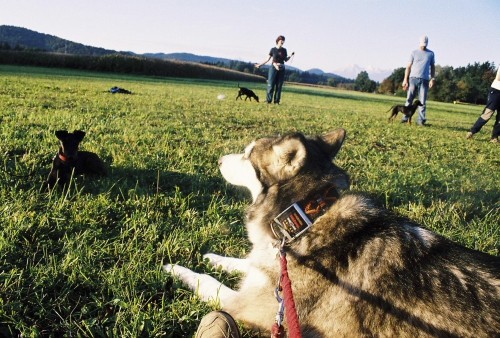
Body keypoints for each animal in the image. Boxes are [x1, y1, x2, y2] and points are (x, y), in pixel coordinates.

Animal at [165, 128, 500, 336]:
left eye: (247, 155)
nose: (219, 160)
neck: (307, 216)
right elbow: (245, 262)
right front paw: (214, 257)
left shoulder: (255, 308)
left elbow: (209, 283)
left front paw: (177, 269)